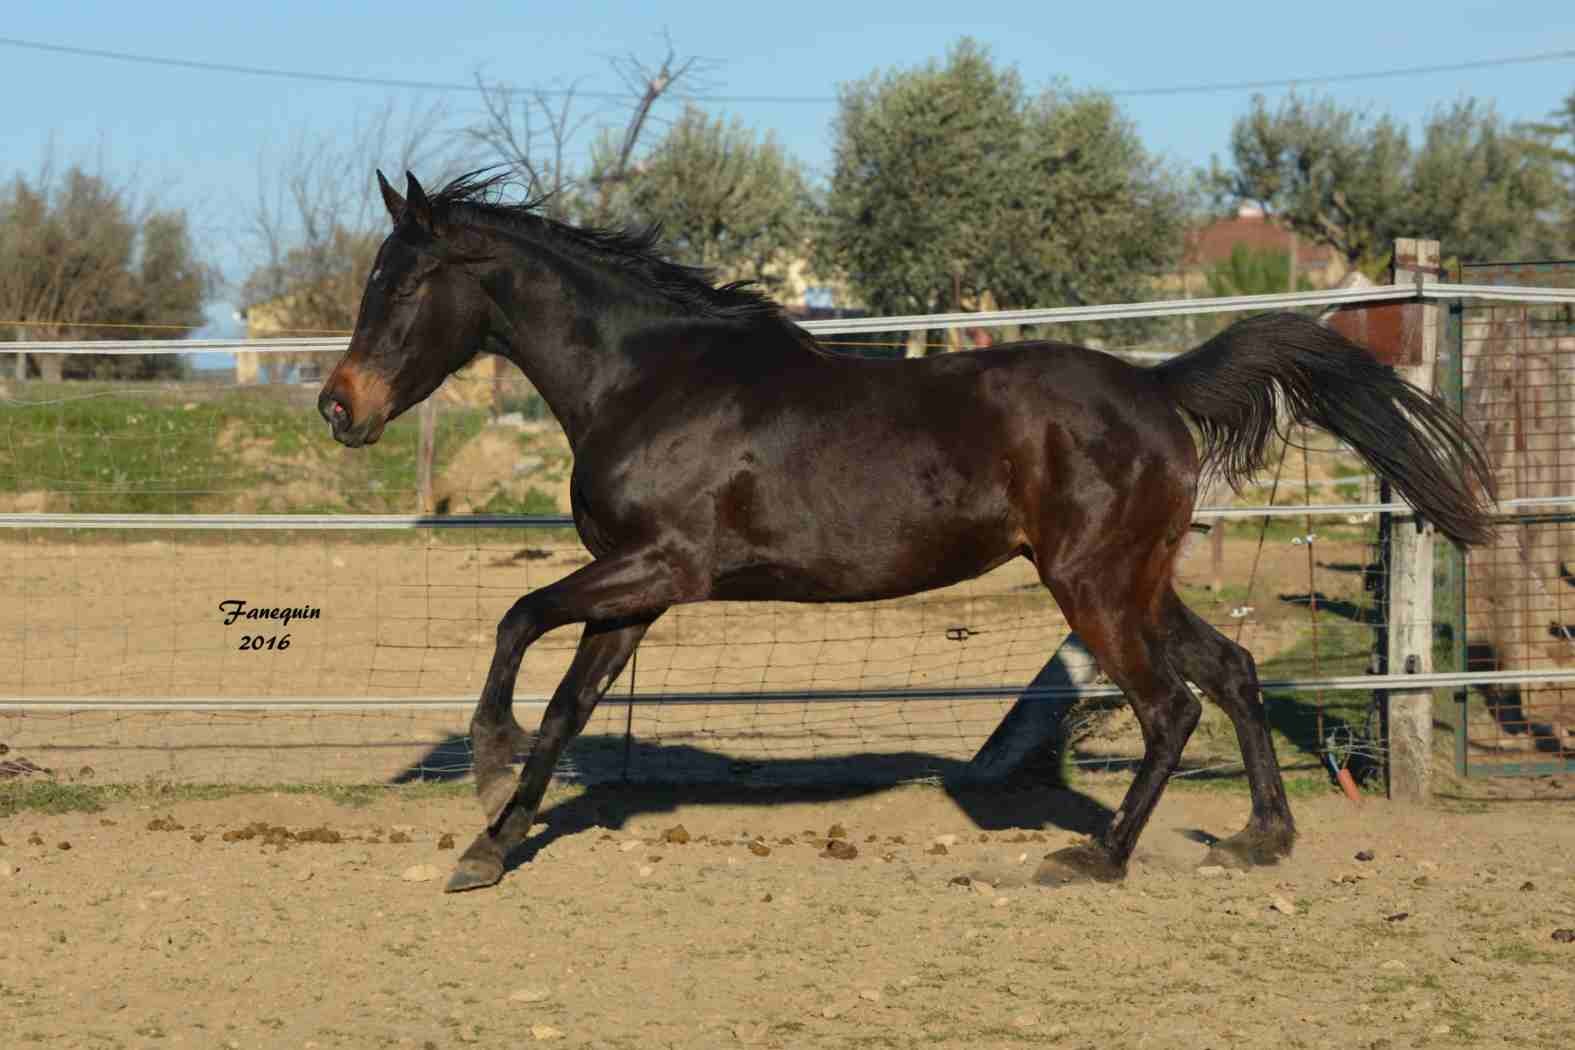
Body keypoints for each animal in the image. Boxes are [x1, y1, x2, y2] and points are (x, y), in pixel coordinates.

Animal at [316, 172, 1486, 894]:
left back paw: (1097, 859)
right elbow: (565, 711)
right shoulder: (634, 592)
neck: (648, 380)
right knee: (1234, 671)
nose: (338, 408)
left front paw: (481, 763)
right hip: (1137, 582)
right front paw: (487, 847)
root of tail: (1157, 387)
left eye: (402, 283)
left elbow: (517, 618)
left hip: (1094, 587)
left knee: (1169, 707)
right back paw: (1260, 838)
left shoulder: (660, 568)